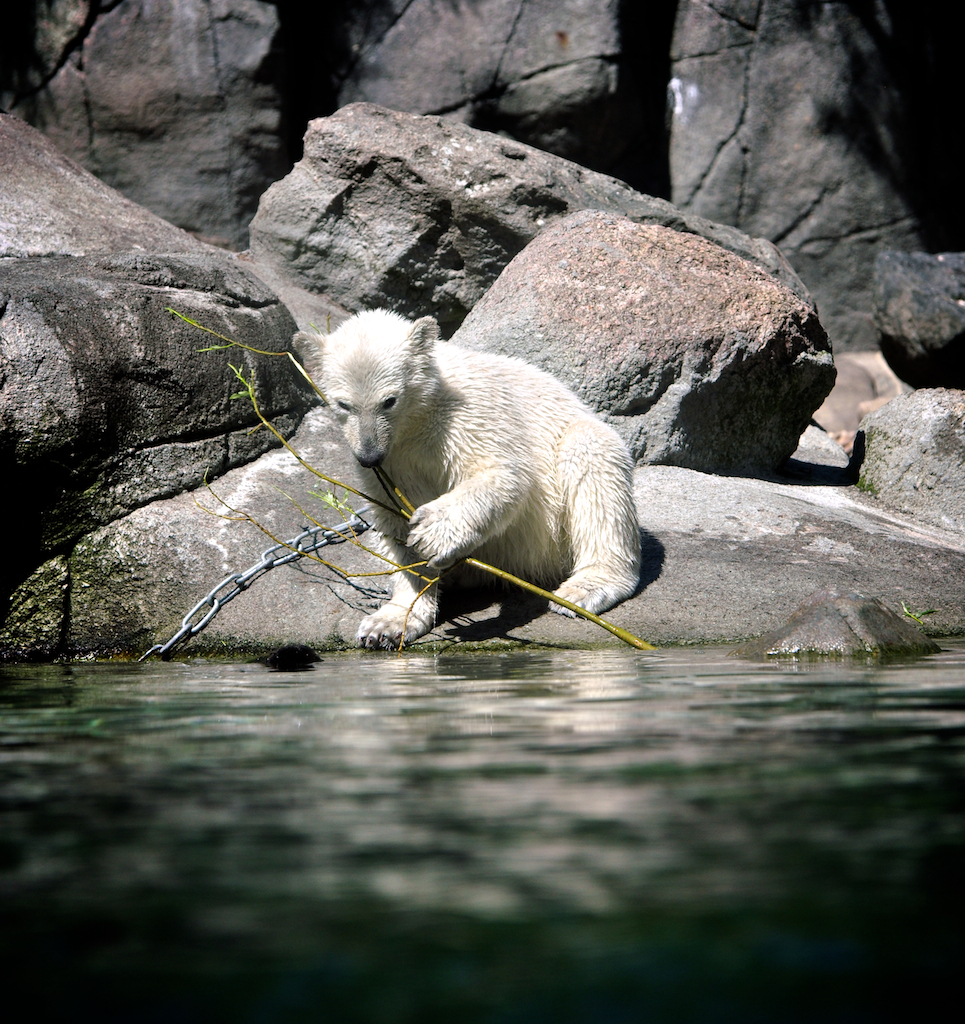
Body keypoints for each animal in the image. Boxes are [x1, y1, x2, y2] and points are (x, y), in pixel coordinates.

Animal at [294, 309, 641, 649]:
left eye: (389, 400)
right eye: (343, 404)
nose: (368, 455)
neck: (417, 419)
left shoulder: (466, 414)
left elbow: (504, 473)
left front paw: (432, 533)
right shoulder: (394, 461)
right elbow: (394, 521)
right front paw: (387, 623)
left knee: (592, 461)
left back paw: (584, 588)